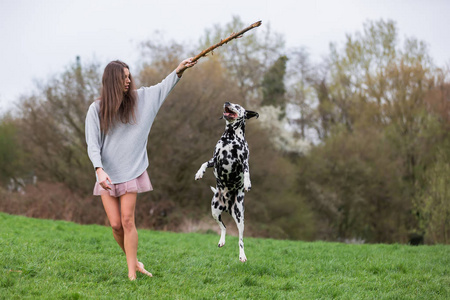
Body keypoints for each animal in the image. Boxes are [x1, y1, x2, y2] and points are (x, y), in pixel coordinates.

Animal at [195, 102, 258, 262]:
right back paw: (221, 241)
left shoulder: (243, 161)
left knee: (240, 239)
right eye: (231, 103)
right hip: (214, 211)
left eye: (238, 106)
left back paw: (242, 255)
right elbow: (204, 163)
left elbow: (247, 172)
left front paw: (247, 183)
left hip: (240, 217)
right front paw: (199, 173)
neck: (230, 138)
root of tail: (228, 206)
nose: (227, 103)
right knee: (223, 227)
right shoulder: (215, 159)